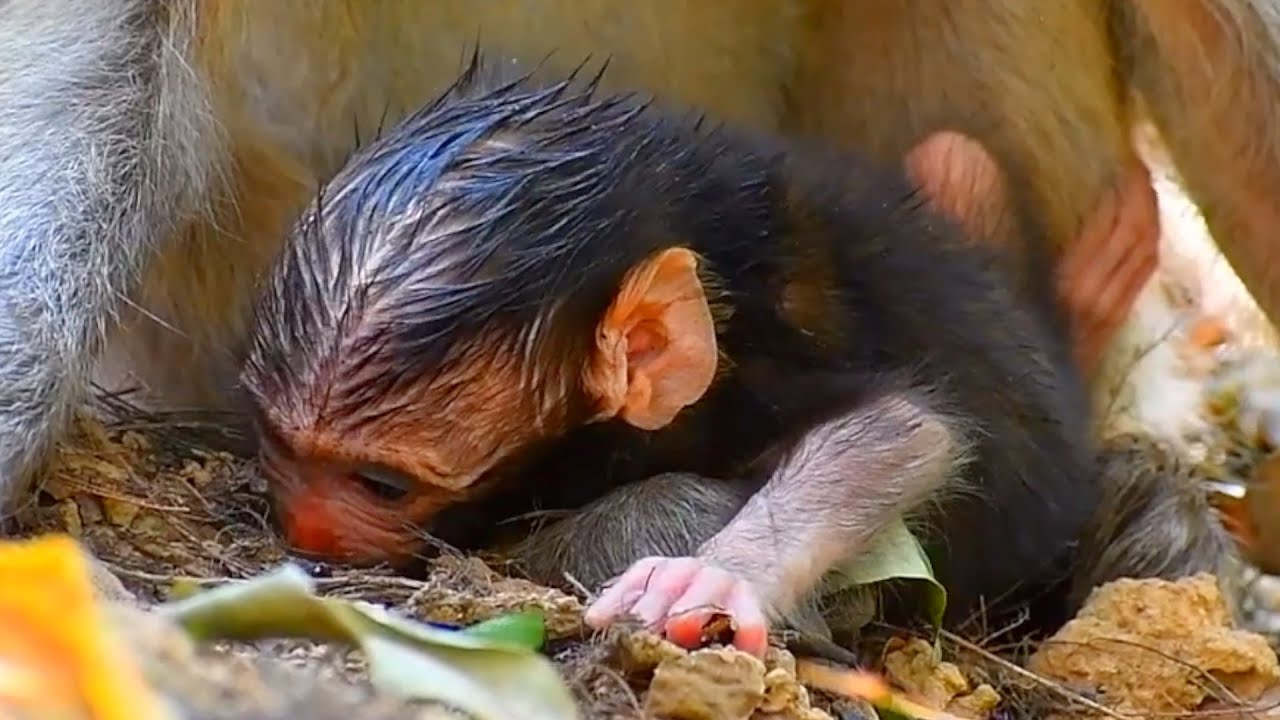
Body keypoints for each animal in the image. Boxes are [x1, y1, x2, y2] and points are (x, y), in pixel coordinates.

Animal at [240, 66, 1112, 658]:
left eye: (381, 485)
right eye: (278, 445)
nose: (306, 535)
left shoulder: (752, 378)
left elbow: (900, 430)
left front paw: (717, 574)